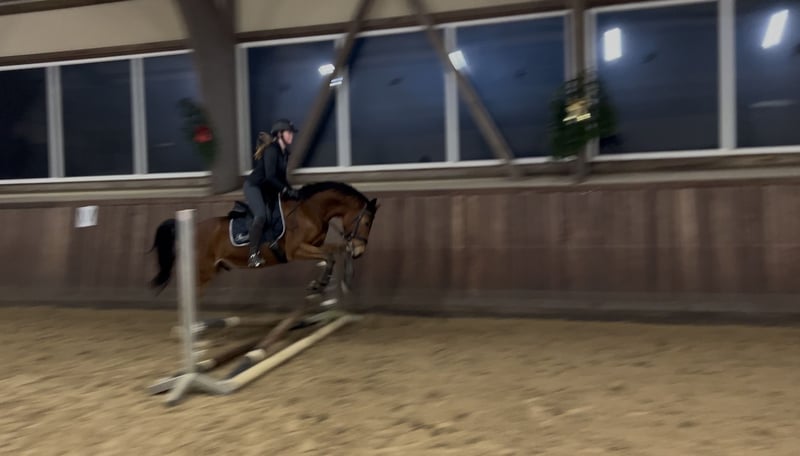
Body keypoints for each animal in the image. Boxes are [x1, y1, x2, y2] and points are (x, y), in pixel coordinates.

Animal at [148, 181, 379, 297]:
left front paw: (342, 281)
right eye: (367, 222)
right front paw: (319, 284)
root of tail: (190, 228)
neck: (310, 209)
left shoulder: (314, 245)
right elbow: (330, 255)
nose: (360, 252)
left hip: (211, 270)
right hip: (203, 272)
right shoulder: (295, 250)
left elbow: (337, 250)